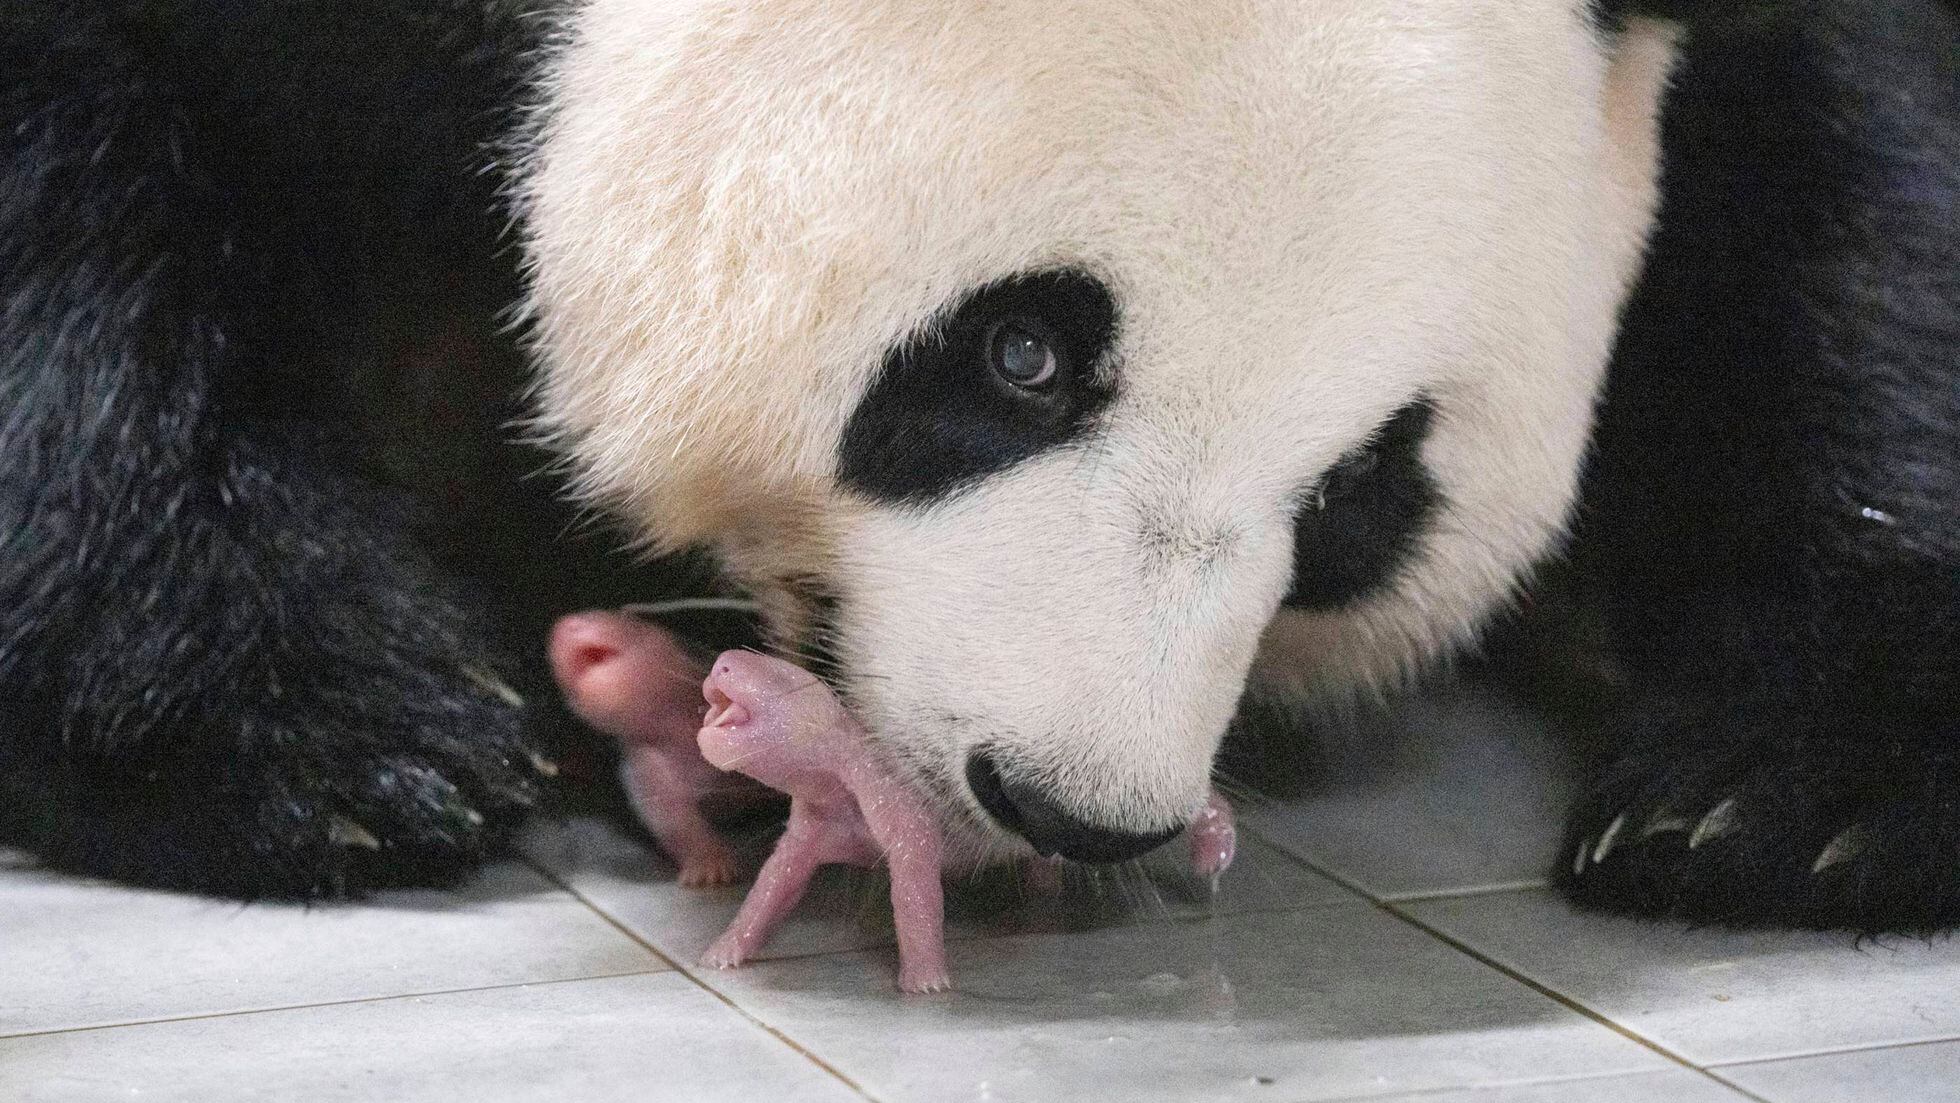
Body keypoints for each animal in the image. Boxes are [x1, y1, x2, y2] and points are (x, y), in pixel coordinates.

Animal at [3, 0, 1960, 932]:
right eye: (1022, 354)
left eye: (1360, 495)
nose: (1074, 802)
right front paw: (319, 731)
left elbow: (1851, 192)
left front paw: (1788, 792)